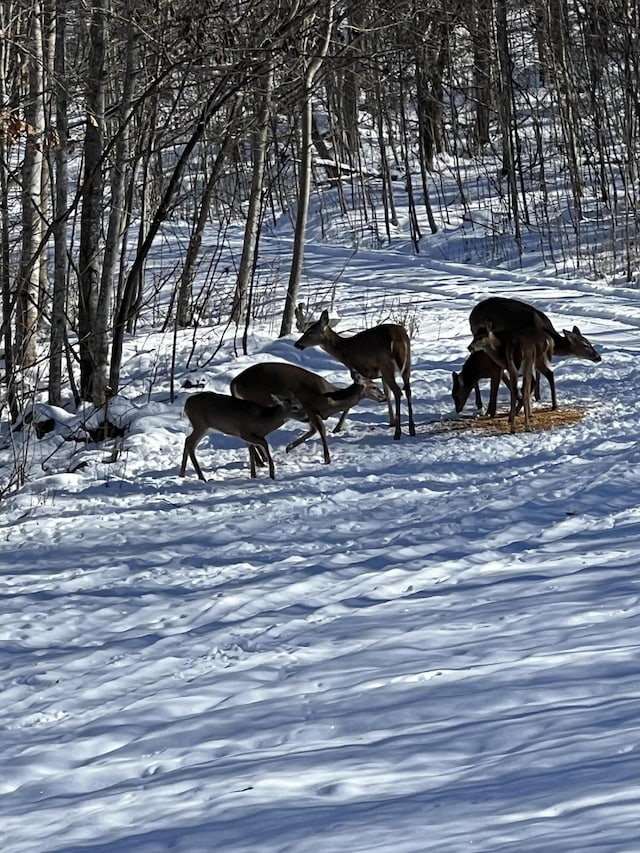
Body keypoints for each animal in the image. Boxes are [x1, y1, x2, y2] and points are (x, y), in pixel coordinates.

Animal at [232, 362, 388, 462]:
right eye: (374, 387)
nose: (384, 397)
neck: (330, 399)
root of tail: (234, 382)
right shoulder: (310, 409)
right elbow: (321, 430)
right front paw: (327, 459)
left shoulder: (310, 415)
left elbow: (312, 431)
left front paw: (289, 448)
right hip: (258, 400)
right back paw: (262, 460)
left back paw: (260, 461)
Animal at [294, 308, 416, 440]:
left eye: (310, 332)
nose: (297, 344)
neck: (343, 351)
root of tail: (399, 339)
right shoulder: (379, 374)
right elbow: (387, 394)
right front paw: (391, 422)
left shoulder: (356, 369)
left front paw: (337, 428)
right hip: (406, 365)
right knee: (407, 390)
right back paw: (411, 429)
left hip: (386, 364)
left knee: (398, 391)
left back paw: (398, 433)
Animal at [470, 296, 600, 410]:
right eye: (585, 345)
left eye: (590, 342)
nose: (598, 357)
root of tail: (471, 314)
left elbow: (537, 371)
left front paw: (537, 395)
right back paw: (481, 402)